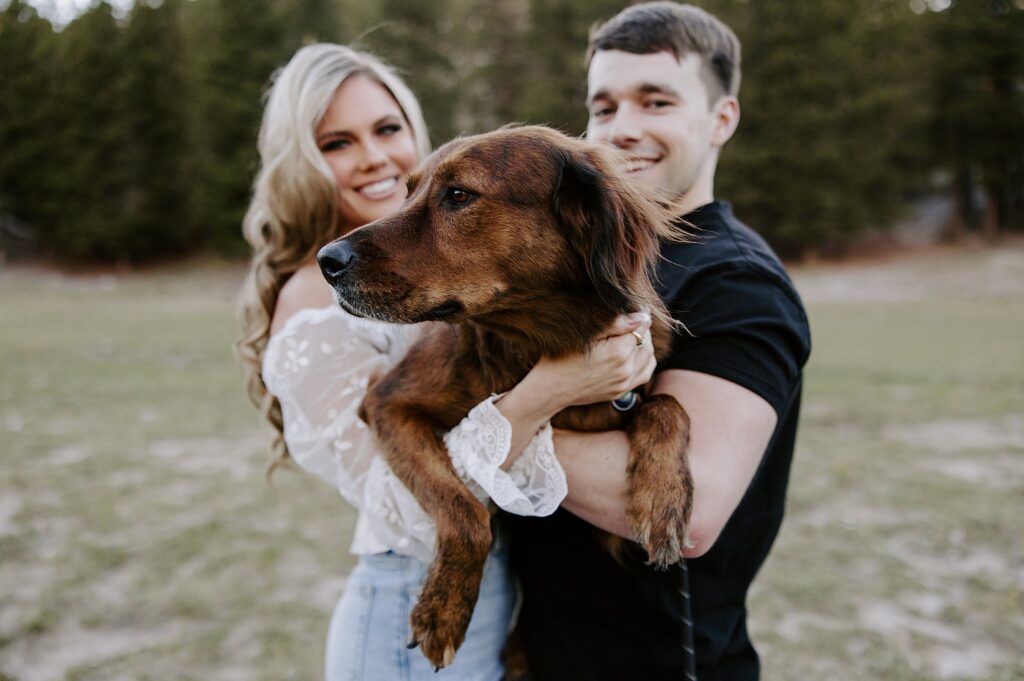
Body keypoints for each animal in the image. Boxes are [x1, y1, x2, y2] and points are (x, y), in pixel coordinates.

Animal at [315, 124, 692, 667]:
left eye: (458, 195)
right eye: (408, 193)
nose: (327, 260)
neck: (533, 344)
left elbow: (667, 407)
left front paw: (663, 500)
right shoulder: (388, 403)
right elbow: (465, 511)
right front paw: (444, 608)